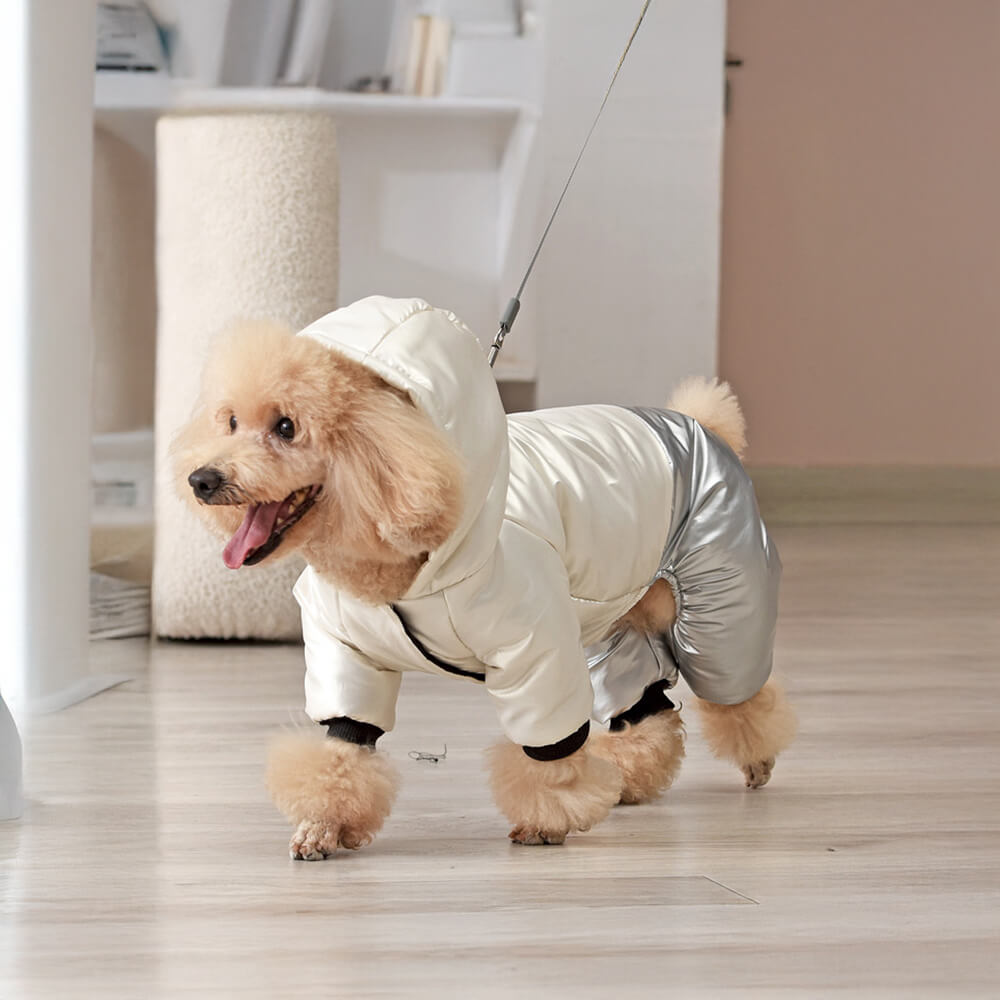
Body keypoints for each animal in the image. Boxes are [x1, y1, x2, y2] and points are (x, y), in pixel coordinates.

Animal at [174, 296, 796, 860]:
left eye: (286, 427)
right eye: (230, 422)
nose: (201, 479)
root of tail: (702, 426)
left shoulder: (534, 647)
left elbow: (549, 749)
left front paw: (547, 819)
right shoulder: (349, 650)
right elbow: (344, 742)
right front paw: (322, 825)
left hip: (718, 607)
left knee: (738, 692)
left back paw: (758, 759)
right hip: (608, 625)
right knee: (646, 705)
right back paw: (630, 778)